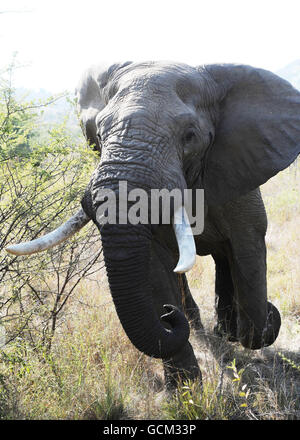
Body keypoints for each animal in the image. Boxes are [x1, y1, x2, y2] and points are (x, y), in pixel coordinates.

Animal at [6, 61, 300, 388]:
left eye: (189, 135)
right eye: (100, 134)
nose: (169, 316)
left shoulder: (239, 174)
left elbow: (247, 250)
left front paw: (268, 319)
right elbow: (156, 266)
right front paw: (185, 389)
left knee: (227, 257)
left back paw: (226, 330)